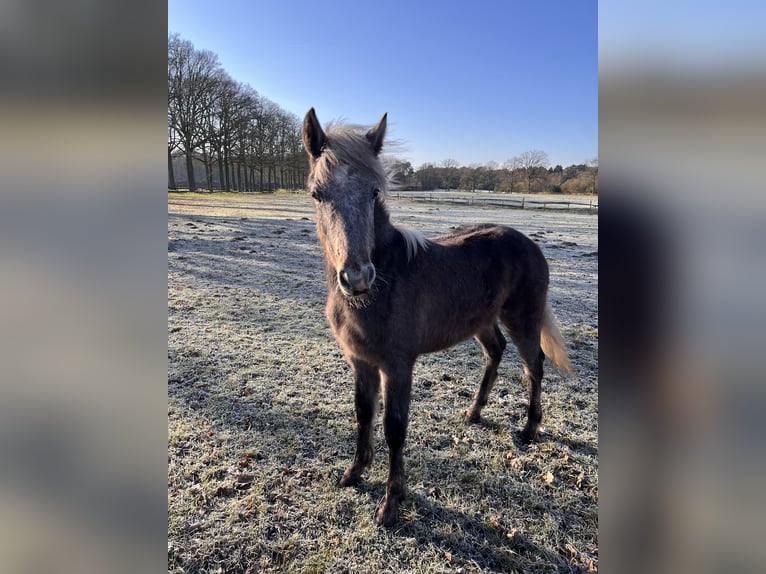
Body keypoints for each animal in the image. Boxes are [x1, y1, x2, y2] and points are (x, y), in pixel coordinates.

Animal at [301, 108, 572, 526]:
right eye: (317, 193)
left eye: (374, 192)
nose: (357, 278)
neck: (384, 283)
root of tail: (529, 243)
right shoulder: (360, 360)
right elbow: (363, 413)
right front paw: (354, 472)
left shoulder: (397, 365)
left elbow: (394, 428)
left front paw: (391, 502)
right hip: (483, 321)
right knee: (495, 351)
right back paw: (474, 413)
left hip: (523, 319)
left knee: (534, 365)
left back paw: (529, 429)